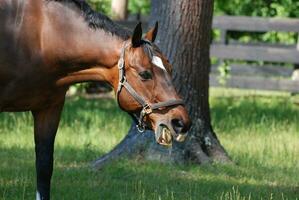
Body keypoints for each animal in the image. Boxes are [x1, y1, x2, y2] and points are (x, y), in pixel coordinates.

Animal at [0, 0, 192, 199]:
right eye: (144, 74)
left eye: (170, 69)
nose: (181, 122)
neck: (40, 38)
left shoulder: (49, 109)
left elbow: (44, 168)